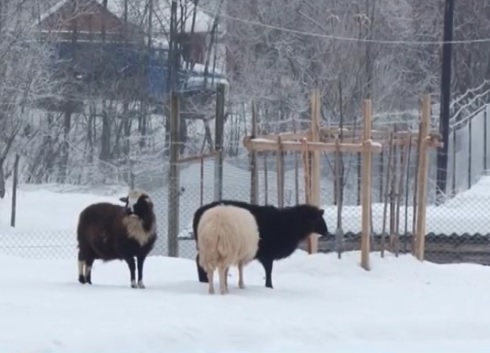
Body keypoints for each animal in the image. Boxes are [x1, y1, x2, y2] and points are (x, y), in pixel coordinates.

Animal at [191, 199, 330, 288]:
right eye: (319, 219)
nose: (327, 232)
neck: (291, 223)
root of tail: (197, 212)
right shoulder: (268, 254)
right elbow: (269, 271)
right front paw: (269, 286)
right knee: (199, 260)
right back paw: (203, 280)